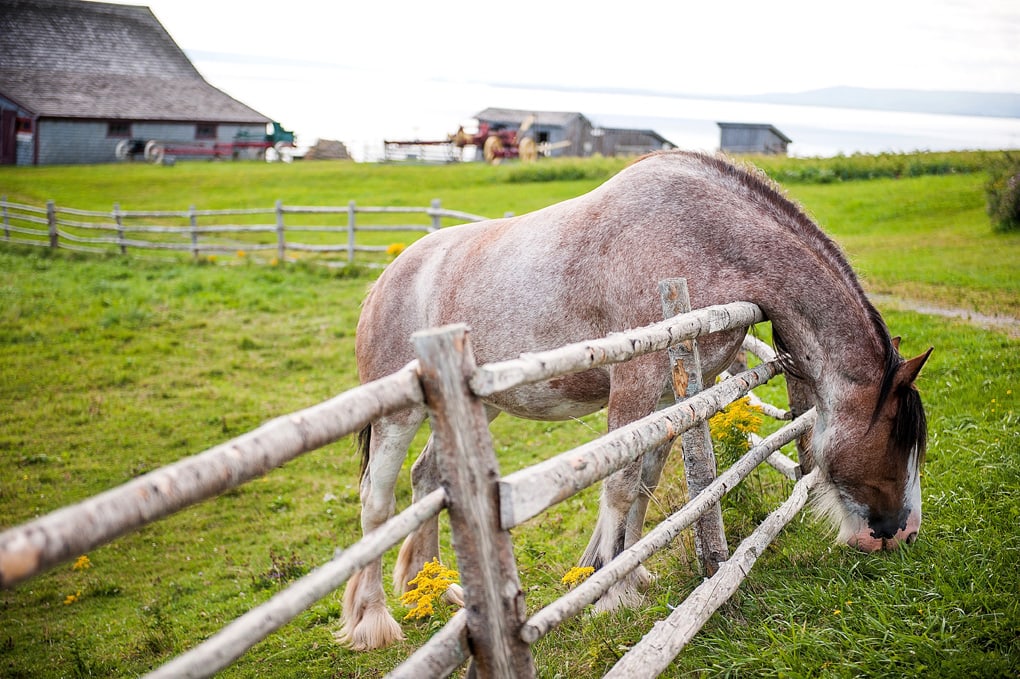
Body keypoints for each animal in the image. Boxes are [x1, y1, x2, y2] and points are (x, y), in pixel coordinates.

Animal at [340, 149, 934, 652]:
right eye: (895, 437)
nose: (902, 534)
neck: (704, 237)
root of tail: (388, 277)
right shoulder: (634, 383)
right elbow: (620, 486)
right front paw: (608, 594)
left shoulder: (671, 394)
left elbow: (645, 479)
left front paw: (623, 573)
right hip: (397, 413)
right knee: (377, 501)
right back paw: (373, 621)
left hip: (478, 407)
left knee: (426, 477)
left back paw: (434, 588)